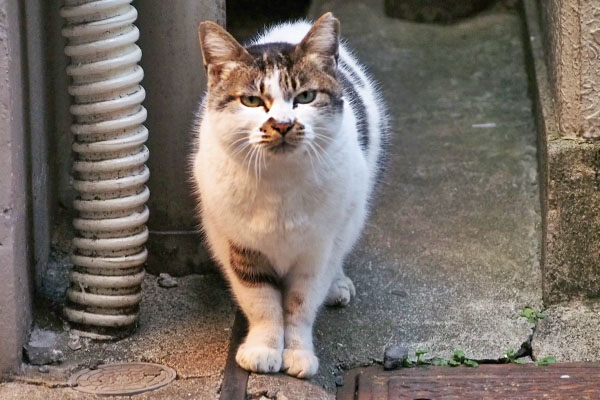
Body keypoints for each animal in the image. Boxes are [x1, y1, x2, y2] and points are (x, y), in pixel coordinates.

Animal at [192, 12, 390, 378]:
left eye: (306, 97)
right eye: (252, 100)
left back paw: (338, 285)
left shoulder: (317, 250)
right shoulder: (239, 245)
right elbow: (261, 302)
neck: (279, 186)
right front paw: (263, 350)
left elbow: (300, 304)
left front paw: (298, 354)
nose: (282, 124)